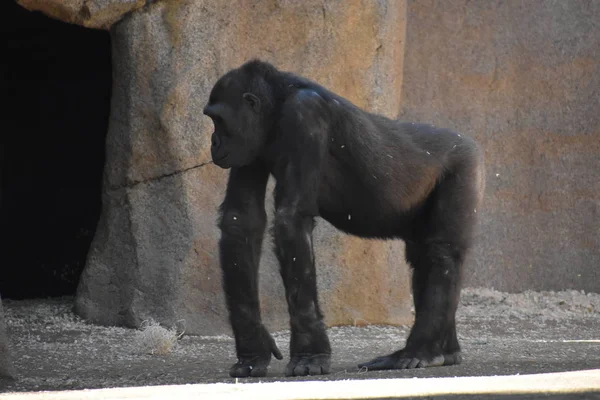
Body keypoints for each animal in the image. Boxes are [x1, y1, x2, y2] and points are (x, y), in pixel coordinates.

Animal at [204, 59, 486, 378]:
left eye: (219, 120)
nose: (213, 142)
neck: (277, 105)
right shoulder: (250, 145)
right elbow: (241, 221)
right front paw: (254, 347)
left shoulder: (305, 115)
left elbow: (291, 220)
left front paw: (310, 352)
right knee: (424, 257)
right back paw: (446, 352)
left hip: (464, 162)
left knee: (441, 252)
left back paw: (420, 351)